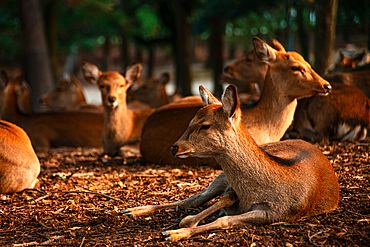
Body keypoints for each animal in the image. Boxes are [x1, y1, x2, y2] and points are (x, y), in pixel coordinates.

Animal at [128, 85, 342, 241]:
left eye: (205, 125)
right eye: (190, 122)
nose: (174, 147)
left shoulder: (280, 213)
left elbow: (225, 220)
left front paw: (174, 233)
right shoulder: (232, 189)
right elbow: (220, 202)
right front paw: (181, 225)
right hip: (220, 176)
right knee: (194, 198)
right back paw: (131, 210)